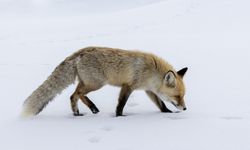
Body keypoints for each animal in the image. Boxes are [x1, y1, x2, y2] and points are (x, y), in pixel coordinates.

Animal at [22, 46, 188, 116]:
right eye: (177, 96)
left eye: (183, 96)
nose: (185, 108)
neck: (151, 71)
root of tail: (80, 52)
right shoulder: (128, 86)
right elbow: (121, 104)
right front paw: (120, 116)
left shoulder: (148, 90)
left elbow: (161, 104)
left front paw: (168, 113)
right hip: (96, 84)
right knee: (76, 94)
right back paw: (87, 109)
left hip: (88, 83)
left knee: (74, 95)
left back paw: (83, 111)